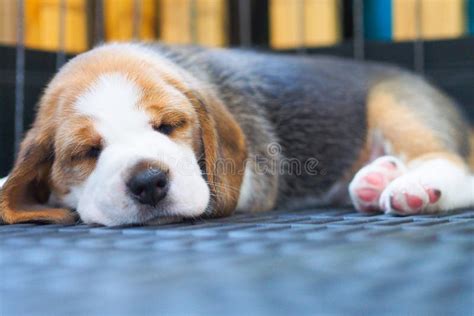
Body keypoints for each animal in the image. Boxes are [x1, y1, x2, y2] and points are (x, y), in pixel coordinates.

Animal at [0, 43, 474, 226]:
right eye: (87, 152)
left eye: (168, 126)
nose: (149, 182)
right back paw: (375, 180)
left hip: (397, 106)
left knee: (456, 169)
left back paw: (415, 187)